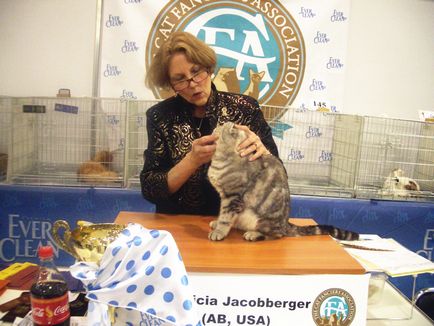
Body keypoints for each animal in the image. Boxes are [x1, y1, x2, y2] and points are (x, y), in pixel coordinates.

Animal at [207, 122, 360, 242]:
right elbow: (222, 214)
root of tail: (286, 224)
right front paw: (217, 223)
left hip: (264, 221)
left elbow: (226, 217)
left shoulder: (232, 197)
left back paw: (253, 234)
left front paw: (219, 232)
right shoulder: (225, 197)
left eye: (220, 126)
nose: (214, 127)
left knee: (276, 235)